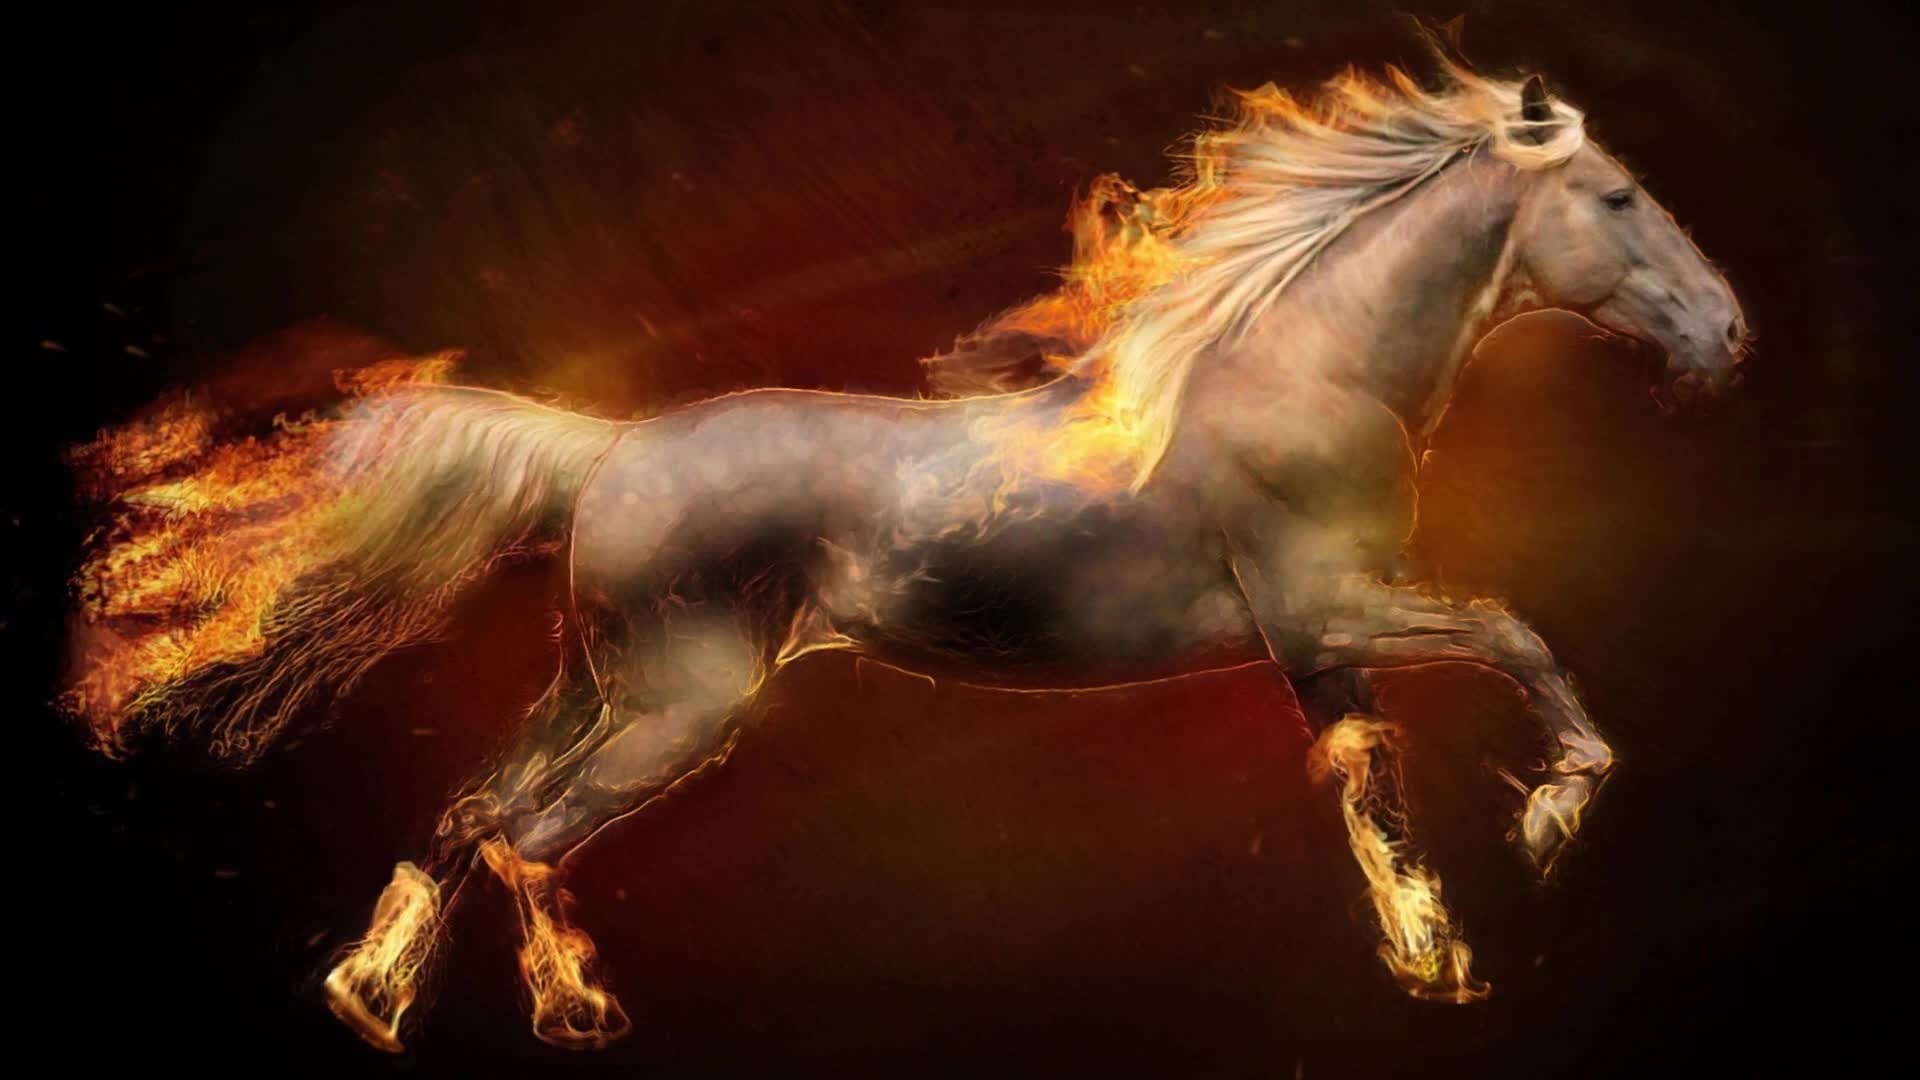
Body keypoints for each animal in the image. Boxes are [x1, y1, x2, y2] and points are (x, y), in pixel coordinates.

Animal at [64, 52, 1747, 1053]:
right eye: (1614, 196)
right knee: (526, 832)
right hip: (680, 704)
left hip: (596, 688)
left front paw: (1437, 956)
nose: (1729, 331)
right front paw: (1543, 828)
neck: (1304, 370)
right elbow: (1514, 639)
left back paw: (367, 998)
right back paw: (575, 1009)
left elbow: (1372, 792)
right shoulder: (1332, 604)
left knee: (469, 810)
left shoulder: (1319, 642)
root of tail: (608, 454)